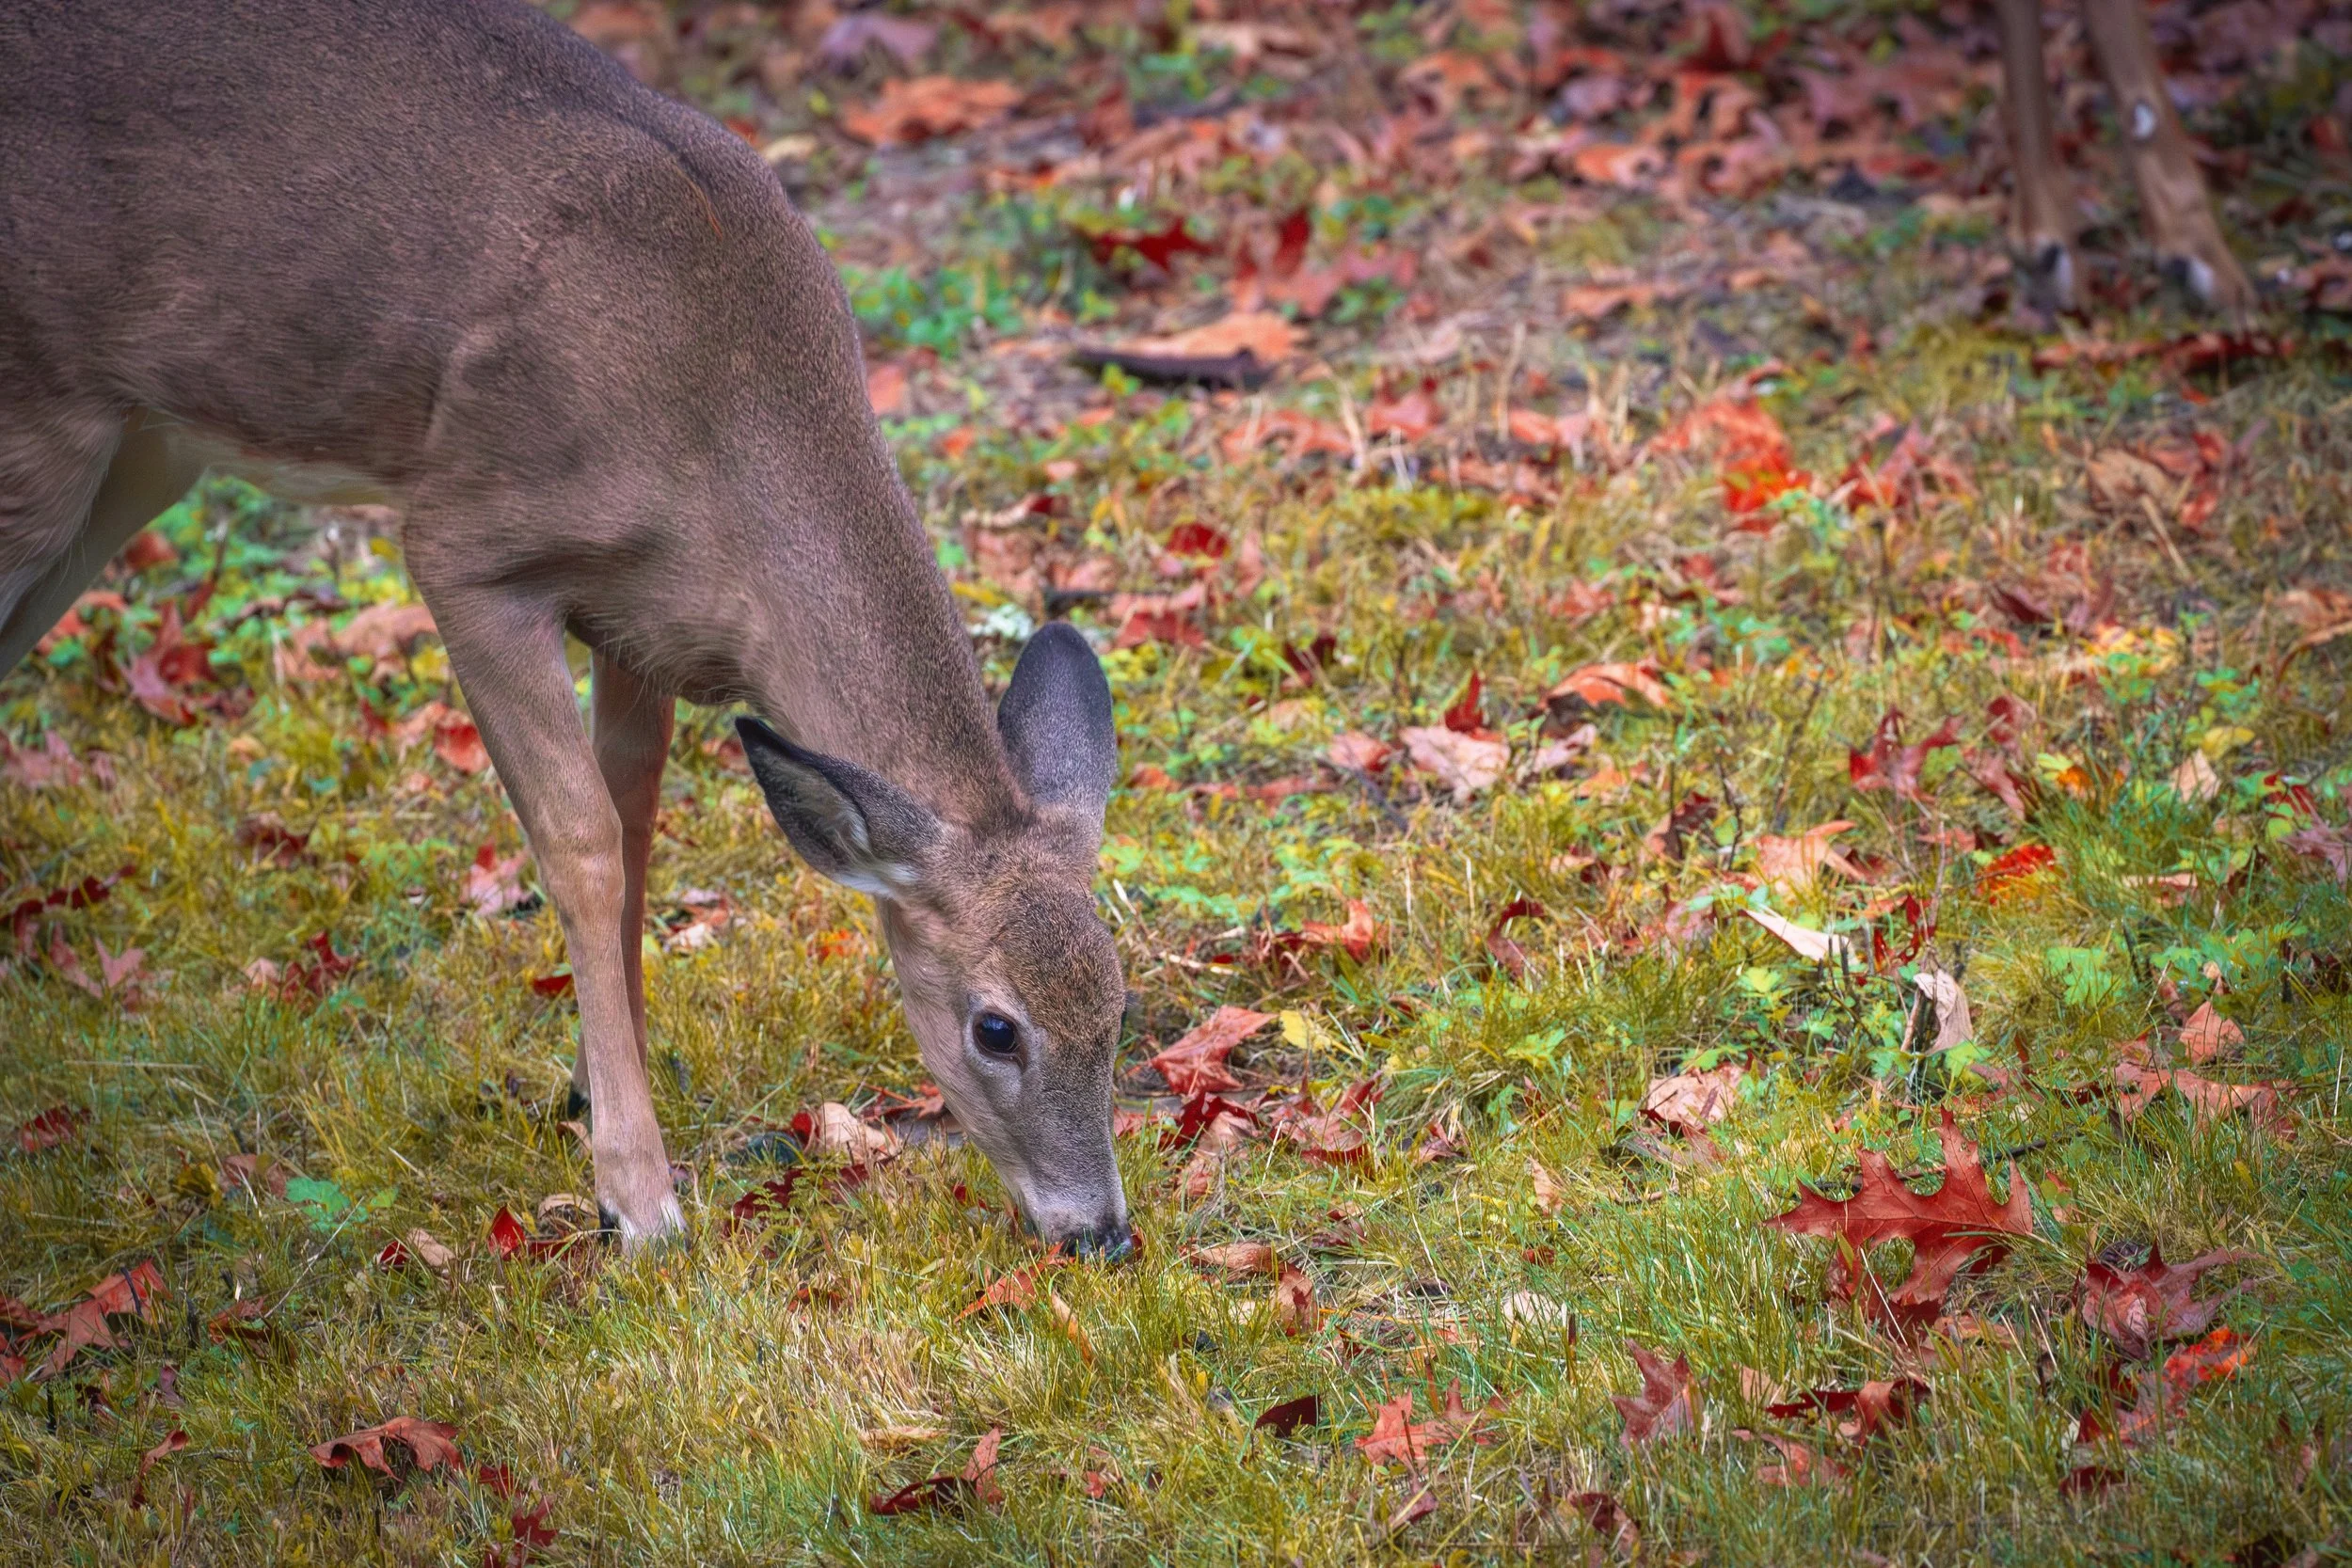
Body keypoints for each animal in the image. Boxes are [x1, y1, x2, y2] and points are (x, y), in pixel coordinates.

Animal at [0, 0, 1132, 1254]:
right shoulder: (466, 541)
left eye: (1118, 998)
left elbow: (636, 834)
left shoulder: (644, 618)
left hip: (137, 450)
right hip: (41, 413)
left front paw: (596, 1087)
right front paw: (636, 1198)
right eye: (995, 1025)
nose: (1100, 1228)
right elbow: (582, 845)